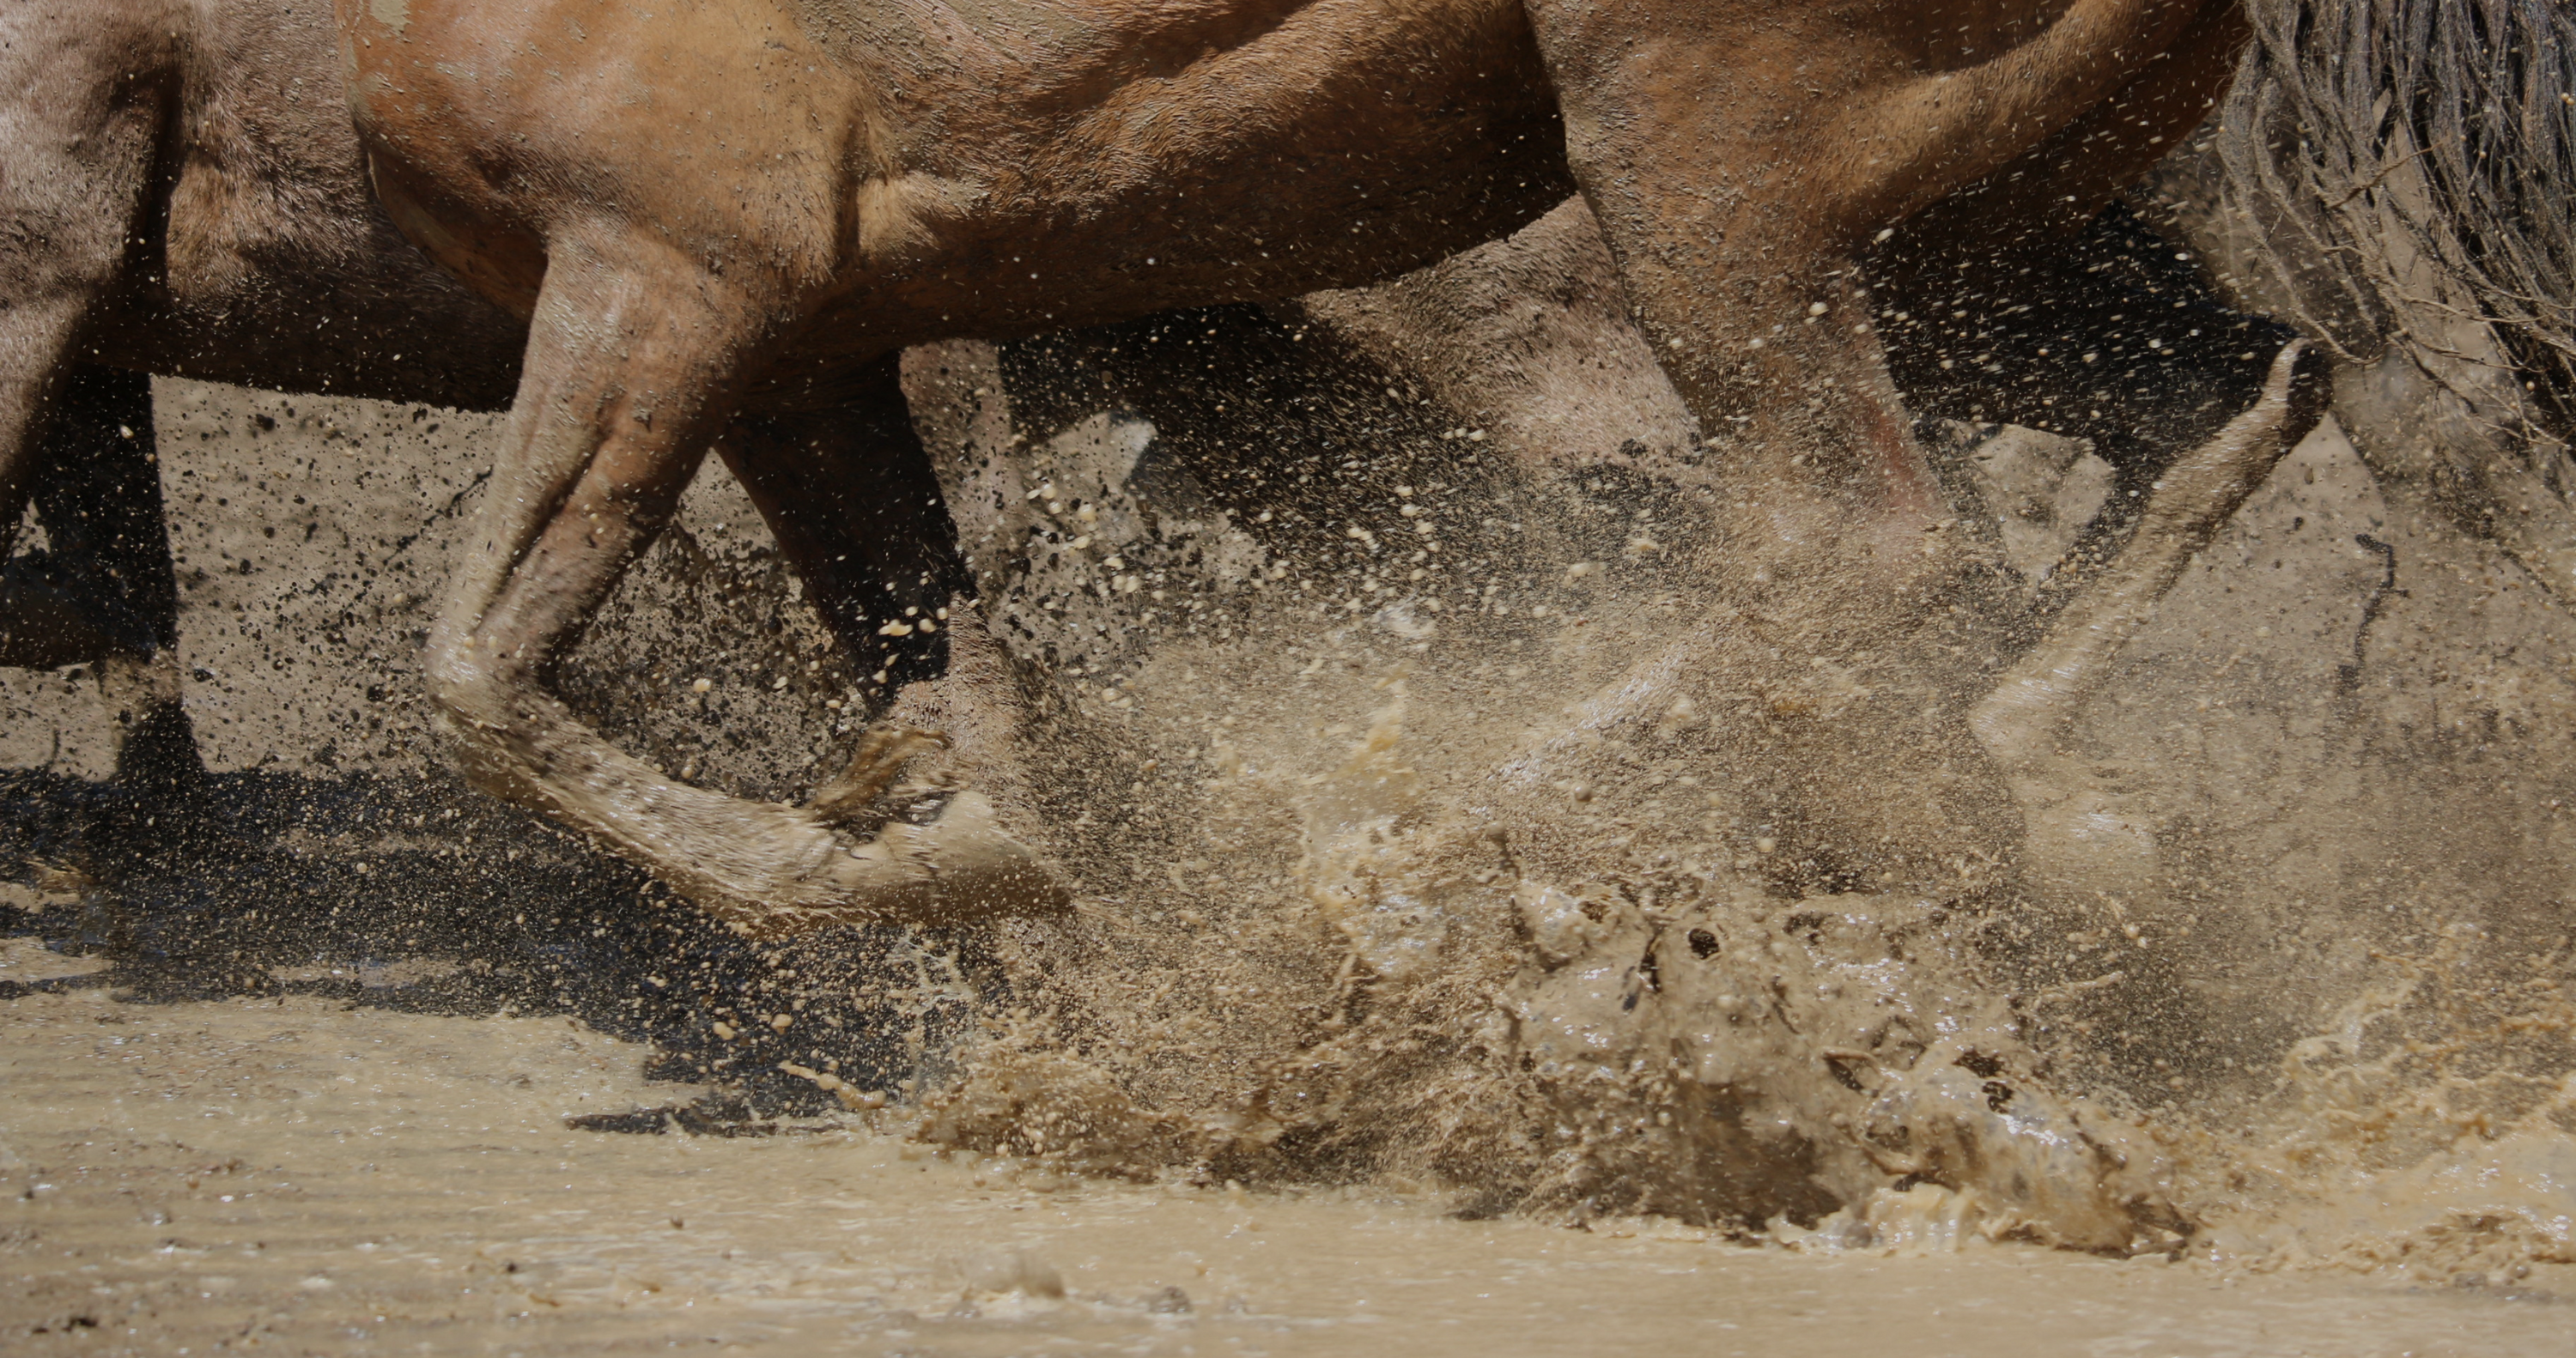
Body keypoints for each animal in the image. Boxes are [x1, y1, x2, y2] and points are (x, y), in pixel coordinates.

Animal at [322, 0, 2318, 937]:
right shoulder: (801, 344)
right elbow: (933, 637)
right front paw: (1004, 821)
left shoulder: (671, 267)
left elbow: (475, 676)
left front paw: (945, 856)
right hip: (1989, 207)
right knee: (2240, 389)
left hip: (1701, 156)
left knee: (1852, 541)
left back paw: (1391, 865)